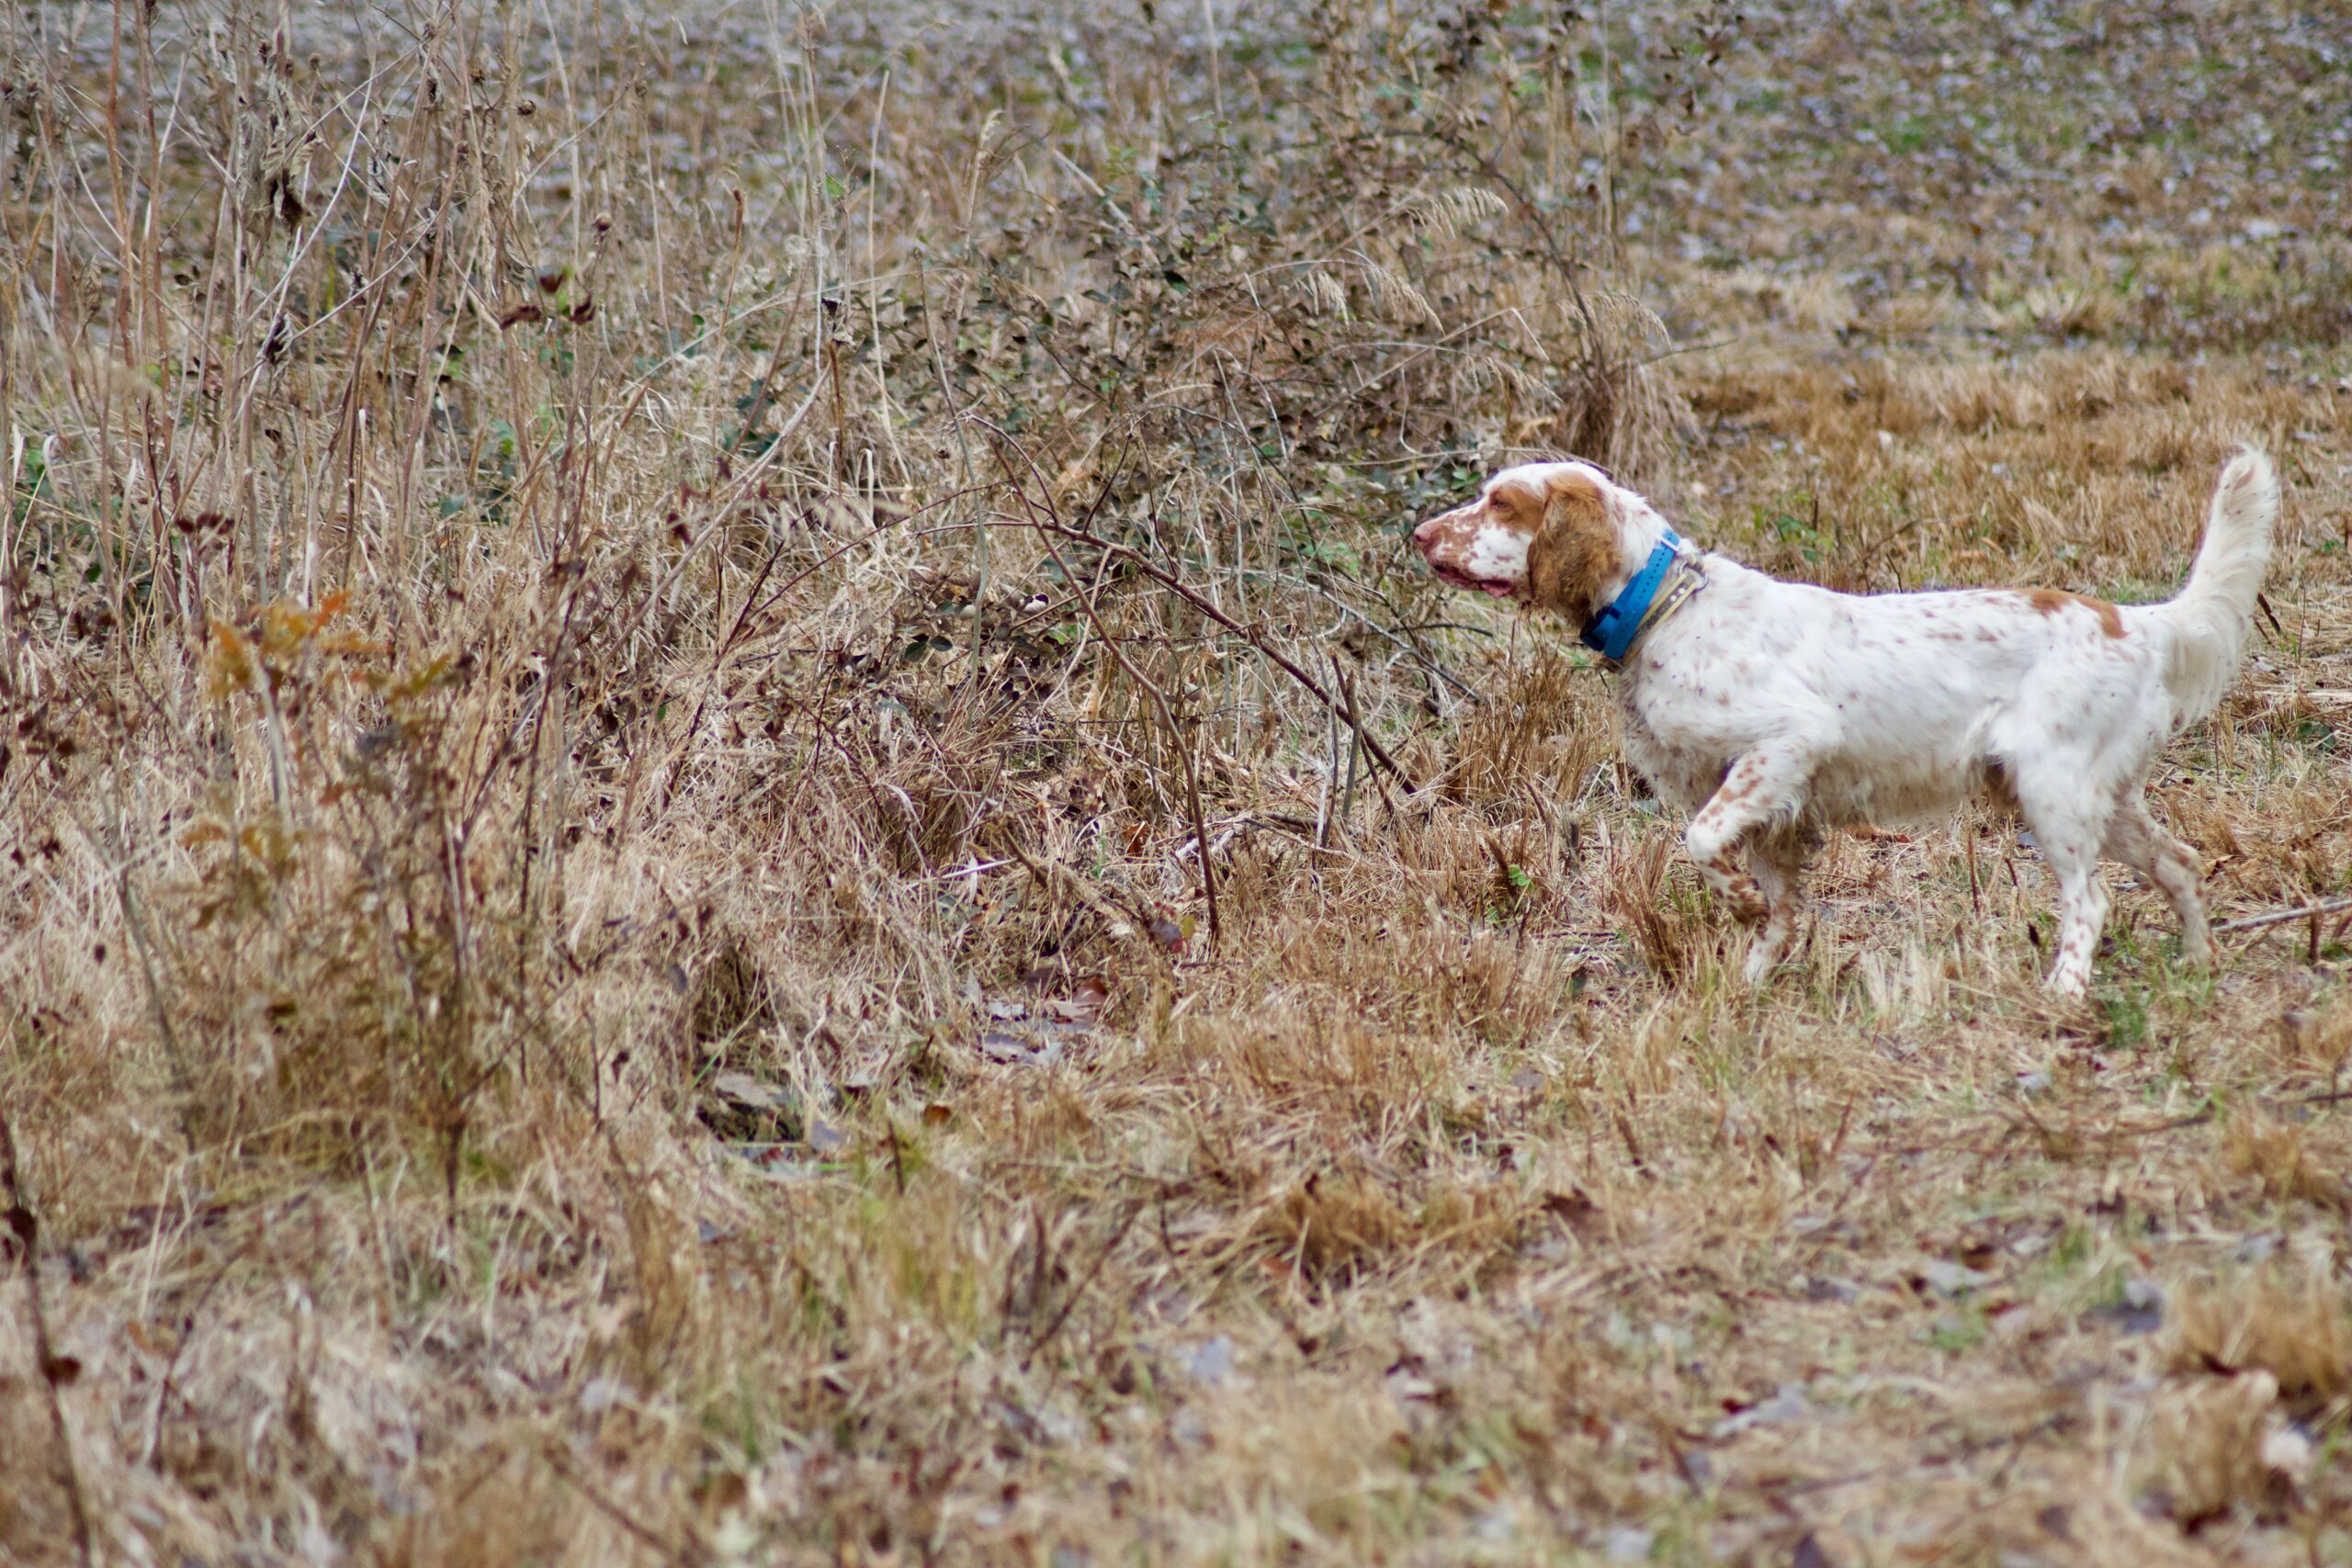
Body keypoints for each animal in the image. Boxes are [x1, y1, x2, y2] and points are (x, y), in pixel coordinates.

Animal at [1411, 451, 2277, 991]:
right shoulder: (1773, 809)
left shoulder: (1786, 744)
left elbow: (1705, 847)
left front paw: (1741, 910)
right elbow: (1778, 910)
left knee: (2091, 901)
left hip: (2053, 792)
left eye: (1501, 502)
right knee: (2181, 861)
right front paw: (1748, 981)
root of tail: (2135, 620)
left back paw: (2063, 991)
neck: (1668, 608)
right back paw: (2199, 963)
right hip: (2104, 798)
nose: (1418, 533)